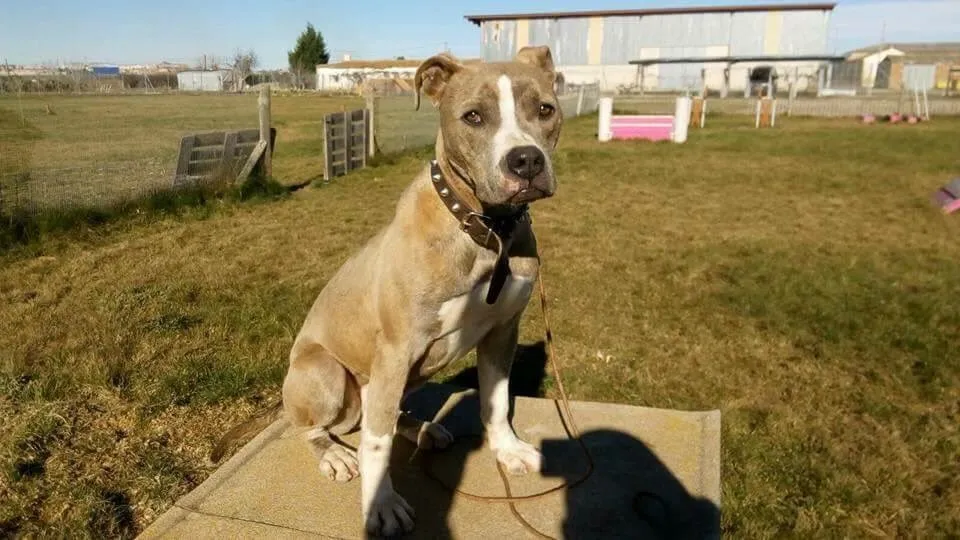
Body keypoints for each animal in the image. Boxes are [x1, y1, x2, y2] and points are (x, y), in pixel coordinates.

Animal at [211, 45, 563, 537]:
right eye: (473, 116)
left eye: (545, 110)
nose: (526, 160)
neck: (485, 230)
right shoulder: (396, 349)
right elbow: (376, 445)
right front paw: (381, 504)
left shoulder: (502, 332)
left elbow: (495, 401)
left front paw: (507, 449)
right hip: (327, 373)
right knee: (318, 427)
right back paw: (336, 454)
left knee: (384, 412)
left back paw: (423, 429)